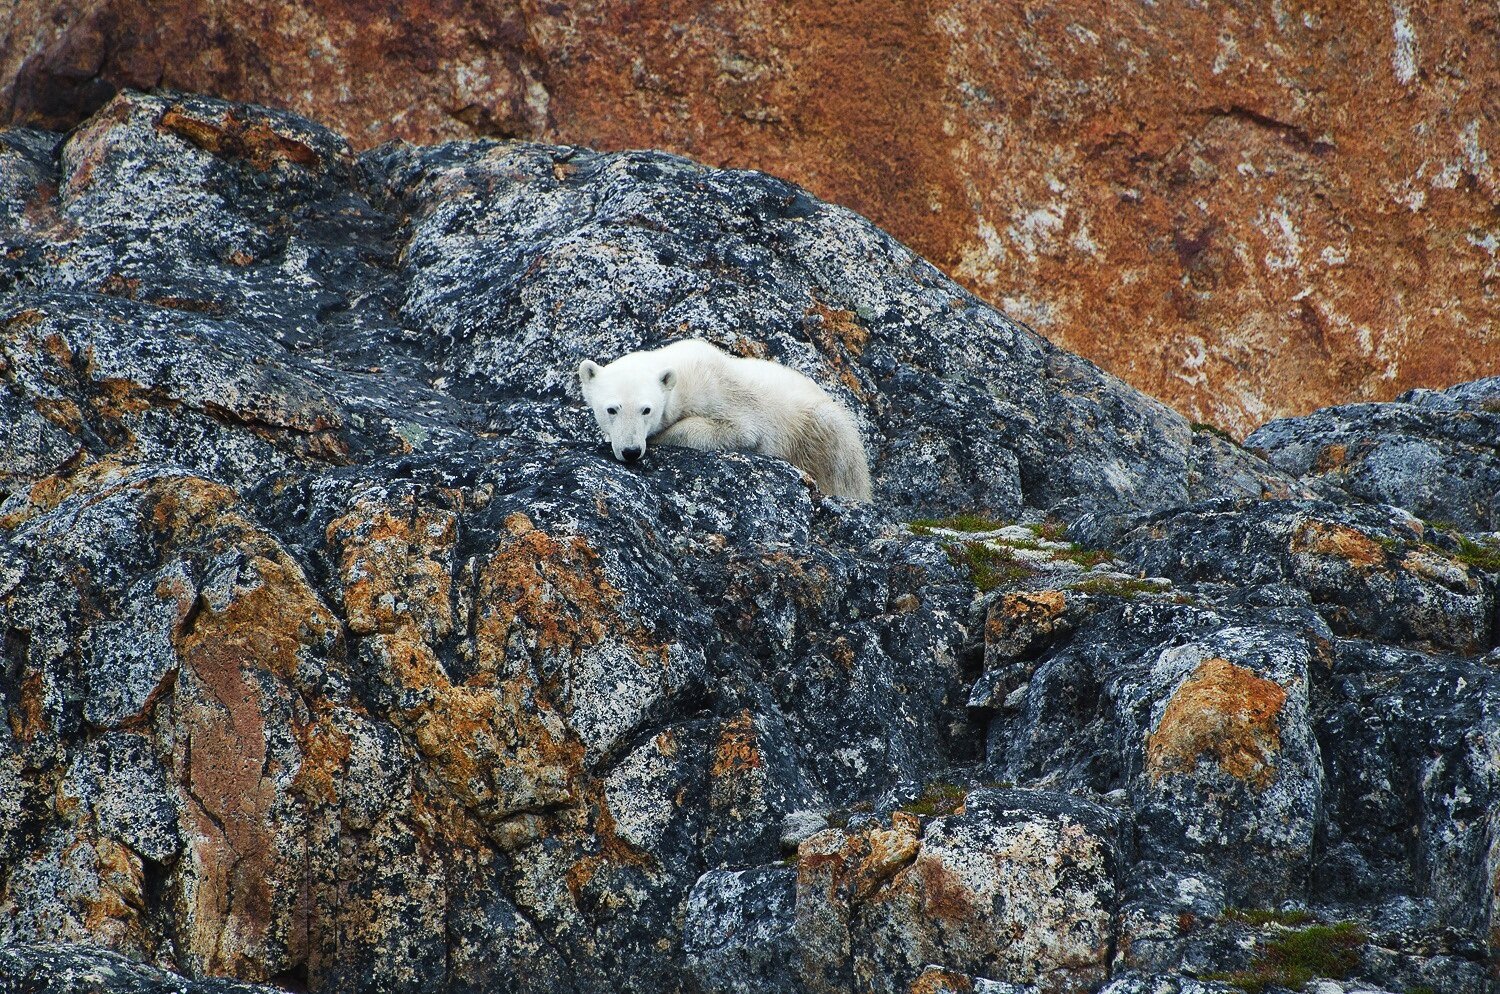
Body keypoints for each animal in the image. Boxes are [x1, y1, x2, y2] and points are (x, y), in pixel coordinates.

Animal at [579, 338, 876, 500]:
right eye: (612, 409)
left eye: (646, 410)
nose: (630, 451)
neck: (682, 371)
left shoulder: (722, 394)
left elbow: (738, 431)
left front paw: (662, 435)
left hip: (821, 430)